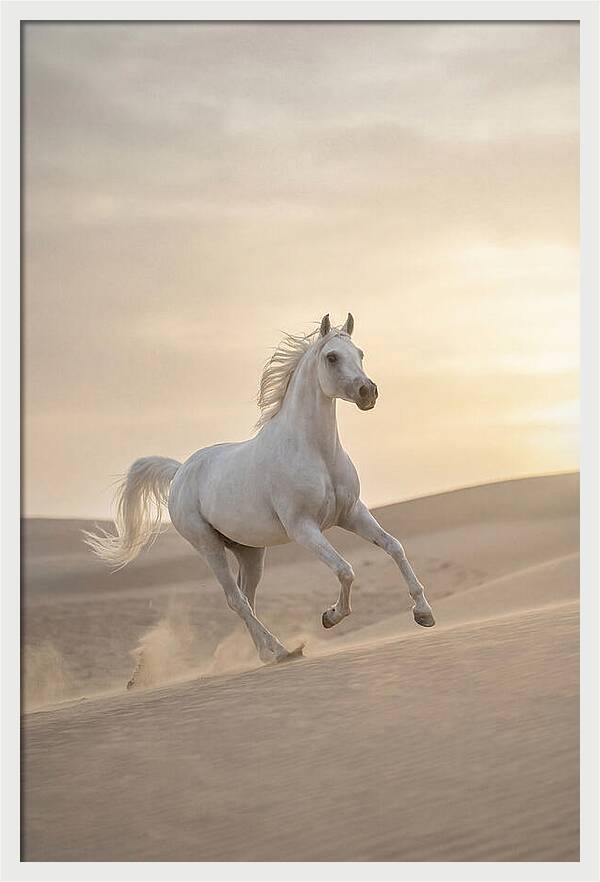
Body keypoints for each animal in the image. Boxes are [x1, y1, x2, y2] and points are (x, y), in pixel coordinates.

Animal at [85, 313, 435, 668]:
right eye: (332, 357)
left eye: (360, 354)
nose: (368, 392)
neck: (316, 452)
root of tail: (180, 471)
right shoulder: (303, 528)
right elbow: (345, 570)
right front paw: (331, 616)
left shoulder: (351, 514)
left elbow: (394, 547)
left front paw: (423, 613)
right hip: (208, 546)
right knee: (235, 599)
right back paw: (280, 650)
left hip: (250, 552)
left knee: (247, 597)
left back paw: (267, 653)